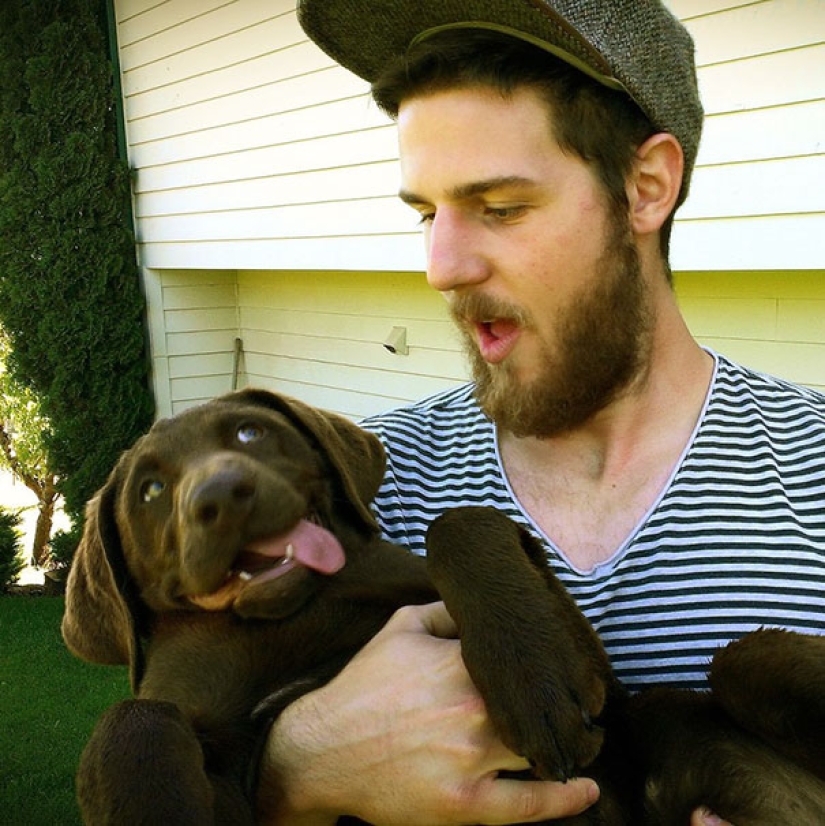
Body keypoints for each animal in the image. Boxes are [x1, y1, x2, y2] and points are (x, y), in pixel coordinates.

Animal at [64, 388, 824, 824]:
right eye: (150, 491)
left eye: (250, 433)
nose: (221, 494)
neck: (292, 615)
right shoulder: (236, 788)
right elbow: (131, 717)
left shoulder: (600, 684)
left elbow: (462, 522)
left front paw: (533, 680)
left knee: (738, 662)